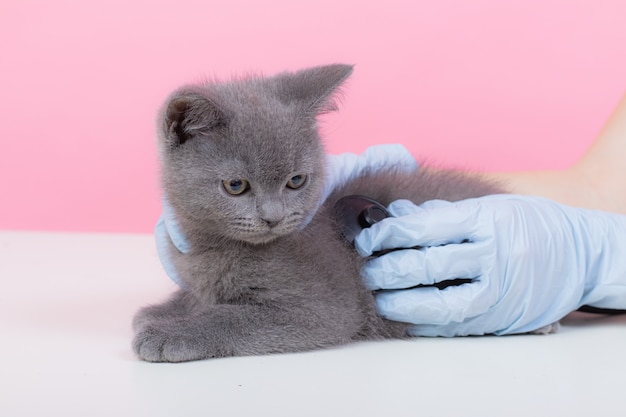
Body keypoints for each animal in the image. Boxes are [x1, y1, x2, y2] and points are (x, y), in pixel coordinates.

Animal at [132, 64, 502, 360]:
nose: (273, 217)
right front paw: (165, 309)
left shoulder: (324, 307)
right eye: (235, 185)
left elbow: (234, 316)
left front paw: (173, 333)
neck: (214, 247)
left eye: (296, 180)